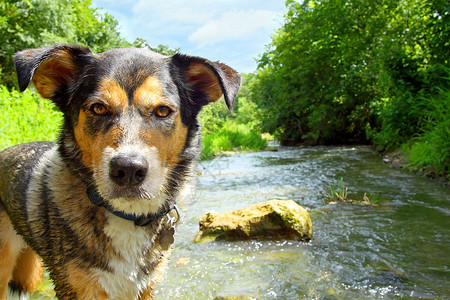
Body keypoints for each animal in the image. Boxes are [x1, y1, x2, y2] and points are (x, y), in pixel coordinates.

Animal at [0, 45, 241, 300]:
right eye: (98, 108)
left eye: (162, 111)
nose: (128, 169)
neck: (129, 215)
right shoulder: (78, 288)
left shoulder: (145, 287)